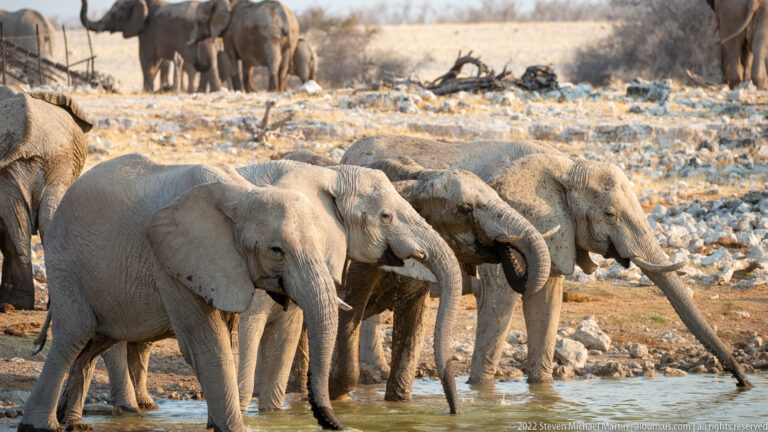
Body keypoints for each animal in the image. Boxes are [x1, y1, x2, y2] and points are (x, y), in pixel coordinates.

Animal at [19, 154, 353, 432]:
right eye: (276, 250)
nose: (337, 424)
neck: (243, 193)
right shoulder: (172, 263)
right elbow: (207, 342)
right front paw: (232, 428)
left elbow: (220, 339)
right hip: (66, 264)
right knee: (74, 336)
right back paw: (41, 426)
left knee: (94, 343)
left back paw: (75, 424)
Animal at [79, 0, 221, 93]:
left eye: (114, 15)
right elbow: (155, 63)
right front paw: (150, 90)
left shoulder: (148, 32)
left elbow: (145, 59)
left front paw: (147, 91)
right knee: (210, 65)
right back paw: (212, 91)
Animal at [282, 151, 555, 404]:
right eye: (465, 209)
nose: (503, 245)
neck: (421, 177)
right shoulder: (361, 258)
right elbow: (348, 316)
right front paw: (333, 399)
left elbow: (413, 324)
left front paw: (398, 405)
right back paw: (298, 394)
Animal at [342, 135, 753, 389]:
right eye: (610, 214)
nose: (743, 382)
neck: (568, 165)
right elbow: (501, 299)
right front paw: (481, 391)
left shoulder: (555, 234)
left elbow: (547, 301)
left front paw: (541, 389)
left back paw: (375, 376)